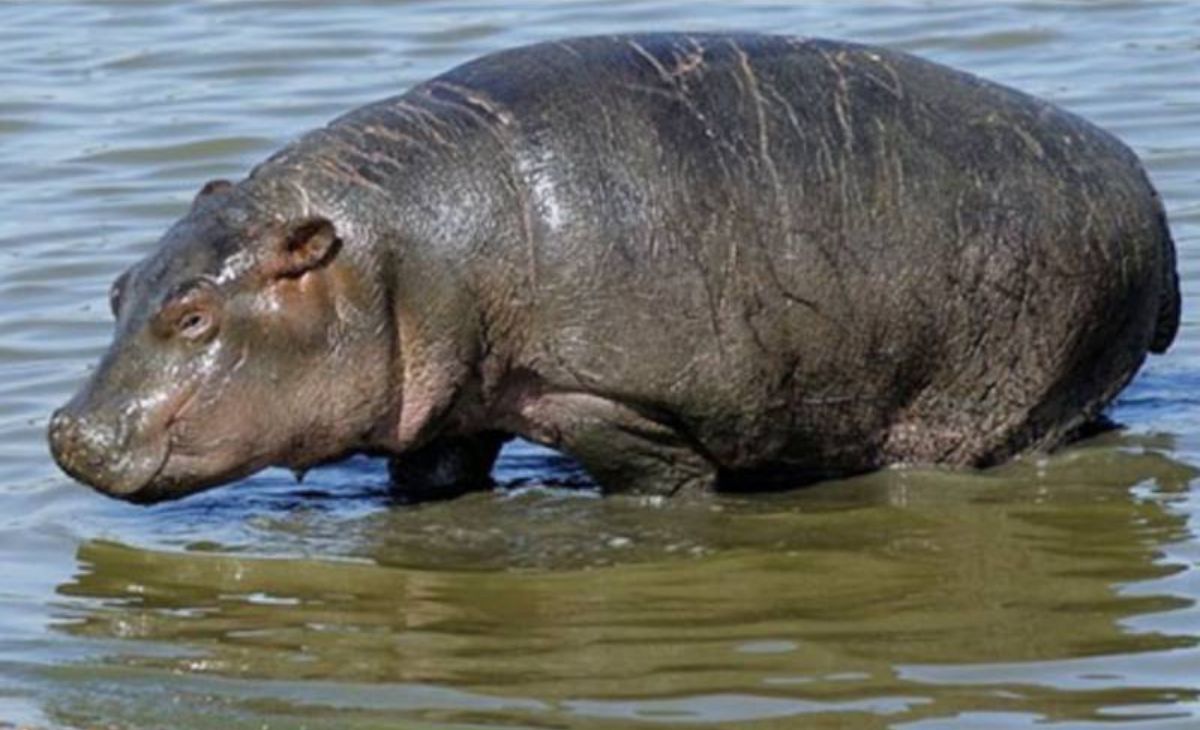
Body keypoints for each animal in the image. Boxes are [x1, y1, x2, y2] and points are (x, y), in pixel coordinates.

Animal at [48, 33, 1180, 504]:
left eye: (194, 314)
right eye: (117, 291)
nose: (64, 430)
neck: (389, 252)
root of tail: (1145, 182)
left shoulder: (604, 401)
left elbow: (660, 479)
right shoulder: (451, 407)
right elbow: (431, 477)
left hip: (1009, 400)